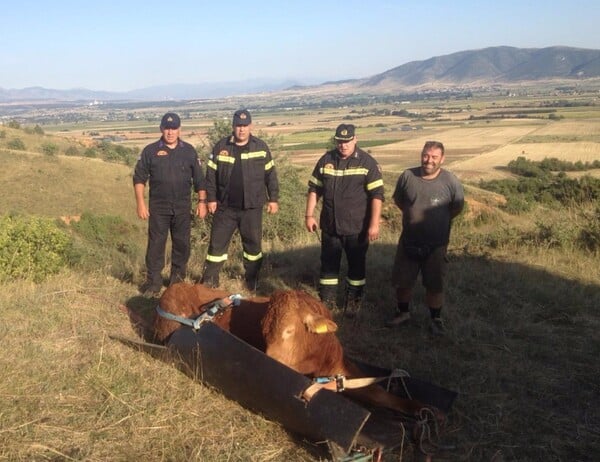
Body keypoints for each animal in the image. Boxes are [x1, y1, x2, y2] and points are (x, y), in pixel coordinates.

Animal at [157, 282, 442, 422]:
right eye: (263, 331)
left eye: (289, 331)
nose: (268, 359)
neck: (318, 356)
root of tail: (174, 287)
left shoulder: (344, 369)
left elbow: (379, 392)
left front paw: (423, 408)